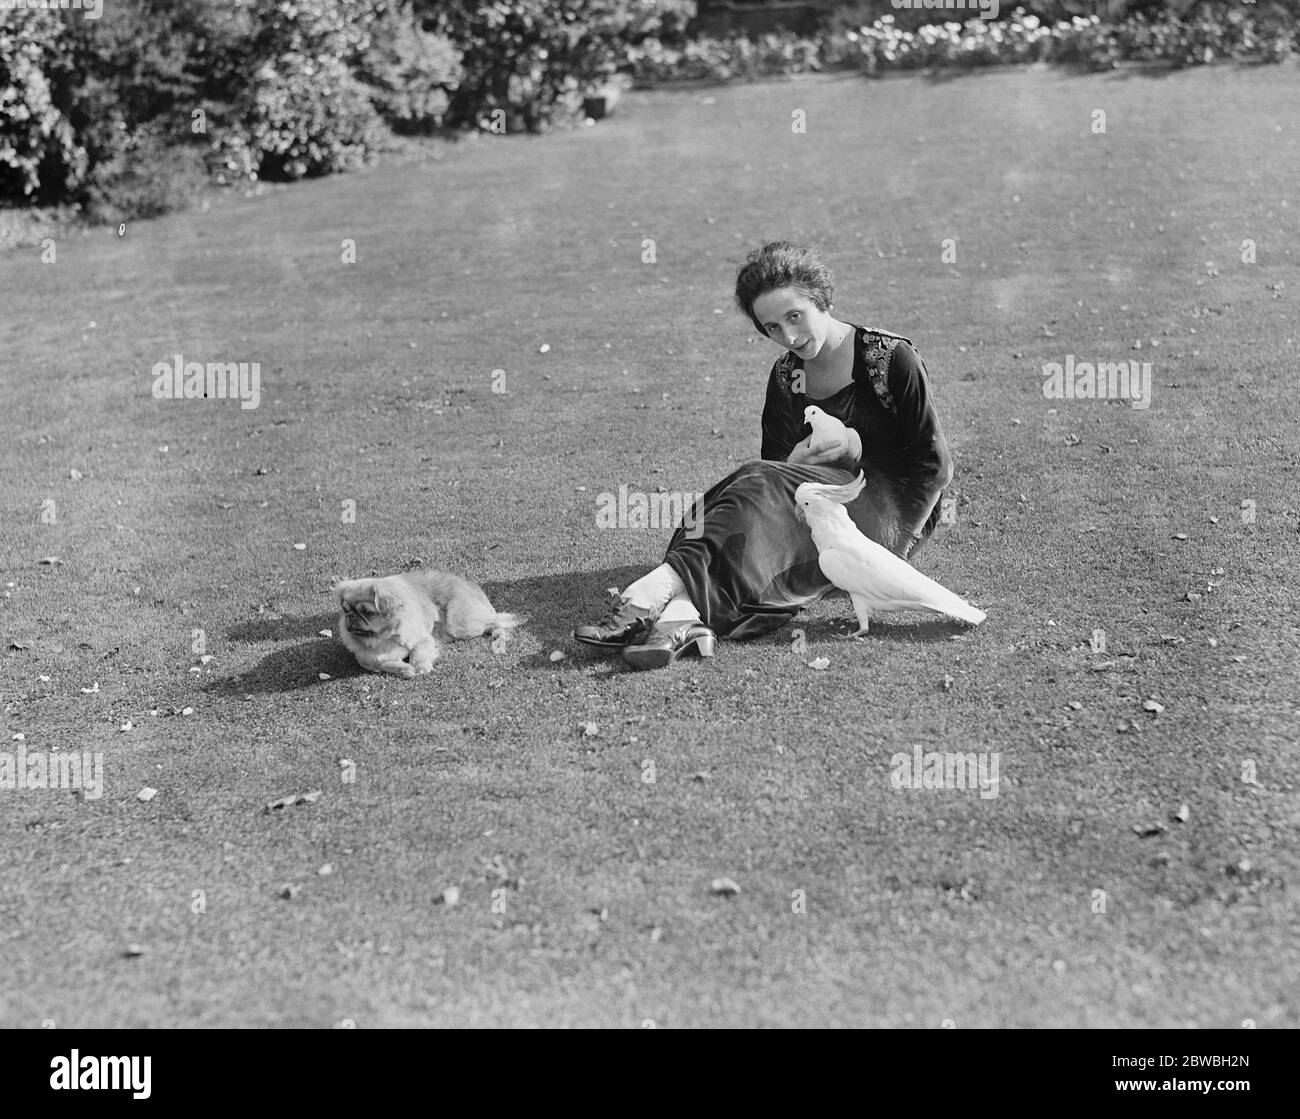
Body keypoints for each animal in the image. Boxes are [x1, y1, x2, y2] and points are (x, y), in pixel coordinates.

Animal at [332, 566, 520, 670]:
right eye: (345, 609)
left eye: (367, 612)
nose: (351, 616)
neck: (380, 639)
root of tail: (470, 585)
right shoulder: (367, 661)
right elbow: (383, 664)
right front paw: (404, 670)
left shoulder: (423, 639)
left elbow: (418, 652)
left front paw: (420, 666)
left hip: (459, 623)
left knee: (496, 622)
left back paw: (498, 640)